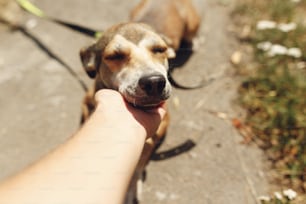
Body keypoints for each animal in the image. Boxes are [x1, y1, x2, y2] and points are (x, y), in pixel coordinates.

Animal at [80, 0, 200, 202]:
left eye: (159, 50)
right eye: (115, 56)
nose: (154, 82)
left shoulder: (156, 132)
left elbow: (137, 166)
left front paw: (131, 188)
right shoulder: (87, 101)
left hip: (192, 23)